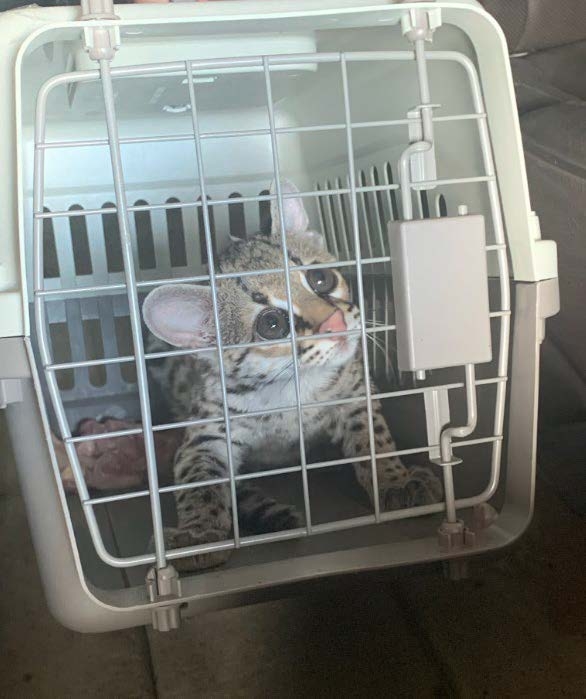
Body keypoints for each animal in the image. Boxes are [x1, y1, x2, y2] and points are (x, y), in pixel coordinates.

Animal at [141, 183, 440, 572]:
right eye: (271, 324)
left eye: (320, 279)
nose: (335, 323)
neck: (292, 387)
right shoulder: (207, 433)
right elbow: (199, 482)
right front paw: (199, 534)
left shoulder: (354, 393)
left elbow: (373, 439)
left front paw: (394, 480)